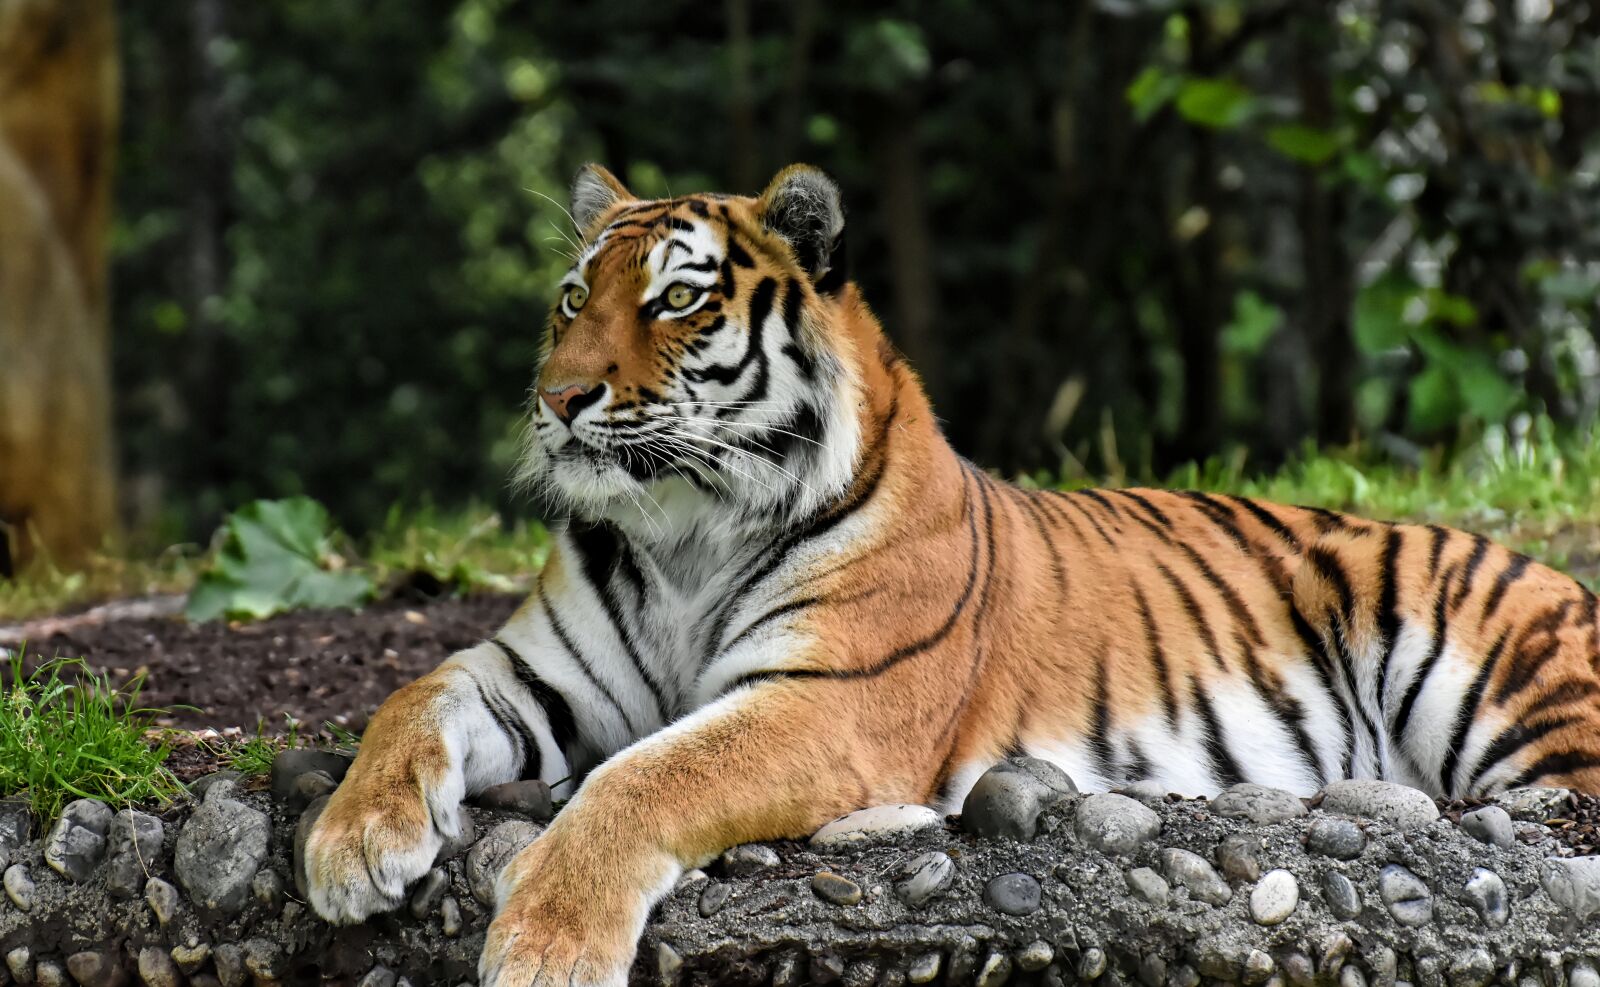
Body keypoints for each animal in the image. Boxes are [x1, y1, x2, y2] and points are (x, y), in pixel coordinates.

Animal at [303, 163, 1600, 986]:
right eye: (574, 296)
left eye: (674, 299)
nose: (560, 398)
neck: (682, 532)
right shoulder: (536, 670)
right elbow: (411, 694)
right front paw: (350, 845)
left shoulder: (827, 704)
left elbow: (644, 778)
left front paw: (546, 944)